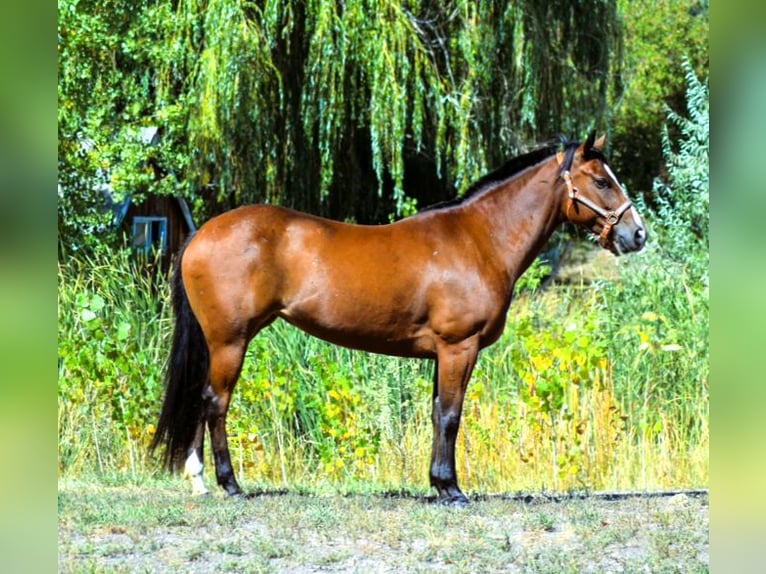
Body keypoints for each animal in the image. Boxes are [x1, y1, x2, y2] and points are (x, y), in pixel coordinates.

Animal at [152, 133, 648, 506]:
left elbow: (436, 412)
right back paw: (229, 483)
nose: (637, 234)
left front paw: (438, 484)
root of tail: (202, 233)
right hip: (230, 340)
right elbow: (450, 415)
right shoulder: (458, 347)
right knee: (216, 402)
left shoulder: (442, 354)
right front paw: (451, 490)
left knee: (202, 398)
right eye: (601, 181)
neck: (479, 240)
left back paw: (198, 478)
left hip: (219, 342)